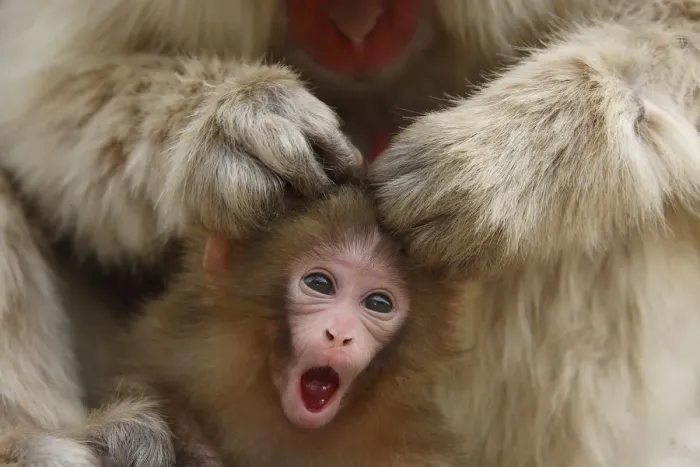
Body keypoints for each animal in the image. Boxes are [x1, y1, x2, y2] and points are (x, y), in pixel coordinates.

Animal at [1, 0, 700, 465]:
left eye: (378, 302)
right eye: (318, 284)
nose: (356, 28)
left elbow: (676, 20)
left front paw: (495, 164)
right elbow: (51, 103)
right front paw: (232, 128)